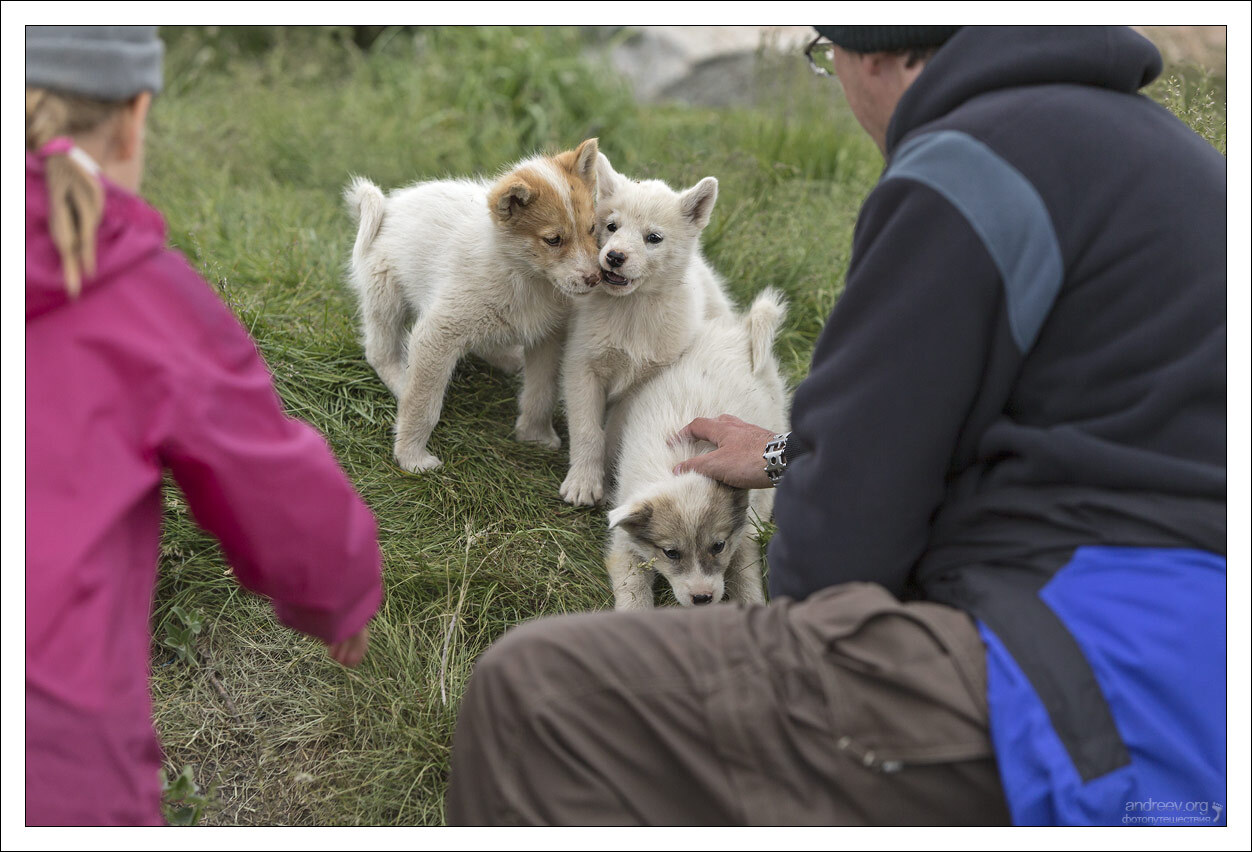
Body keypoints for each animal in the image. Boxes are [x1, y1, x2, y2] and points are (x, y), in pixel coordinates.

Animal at [340, 140, 598, 472]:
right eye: (553, 240)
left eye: (593, 229)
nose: (595, 278)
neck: (523, 276)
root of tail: (387, 208)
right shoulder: (438, 333)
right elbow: (423, 404)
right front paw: (411, 457)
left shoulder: (547, 337)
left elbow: (542, 392)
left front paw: (535, 435)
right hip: (385, 295)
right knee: (380, 352)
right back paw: (402, 382)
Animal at [558, 156, 731, 505]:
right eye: (612, 226)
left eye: (653, 238)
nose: (614, 257)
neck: (631, 310)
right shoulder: (582, 365)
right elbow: (587, 430)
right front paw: (583, 483)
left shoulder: (642, 384)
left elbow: (614, 433)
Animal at [603, 289, 781, 608]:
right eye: (671, 553)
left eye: (718, 545)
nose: (702, 598)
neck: (682, 466)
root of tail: (739, 332)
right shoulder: (624, 543)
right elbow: (633, 590)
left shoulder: (744, 533)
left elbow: (745, 577)